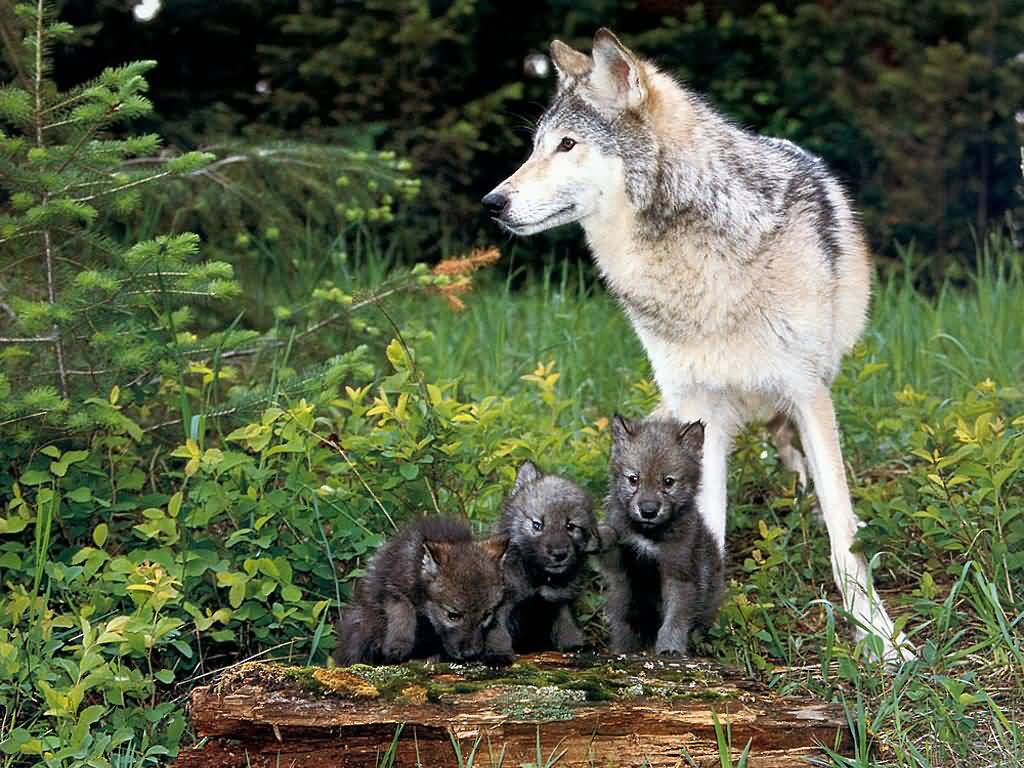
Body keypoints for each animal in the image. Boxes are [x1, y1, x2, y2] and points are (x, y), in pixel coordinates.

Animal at [333, 516, 510, 665]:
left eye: (486, 615)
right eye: (453, 615)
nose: (470, 654)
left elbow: (497, 625)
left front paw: (498, 652)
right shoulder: (392, 590)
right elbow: (404, 612)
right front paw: (398, 645)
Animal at [493, 461, 598, 652]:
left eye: (570, 526)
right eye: (537, 525)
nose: (559, 554)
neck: (538, 578)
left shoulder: (560, 602)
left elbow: (567, 630)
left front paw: (577, 647)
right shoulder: (505, 605)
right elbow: (498, 633)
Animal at [602, 415, 722, 656]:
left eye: (668, 482)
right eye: (633, 479)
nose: (648, 511)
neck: (648, 535)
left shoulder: (678, 574)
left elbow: (675, 618)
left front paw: (670, 650)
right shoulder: (621, 572)